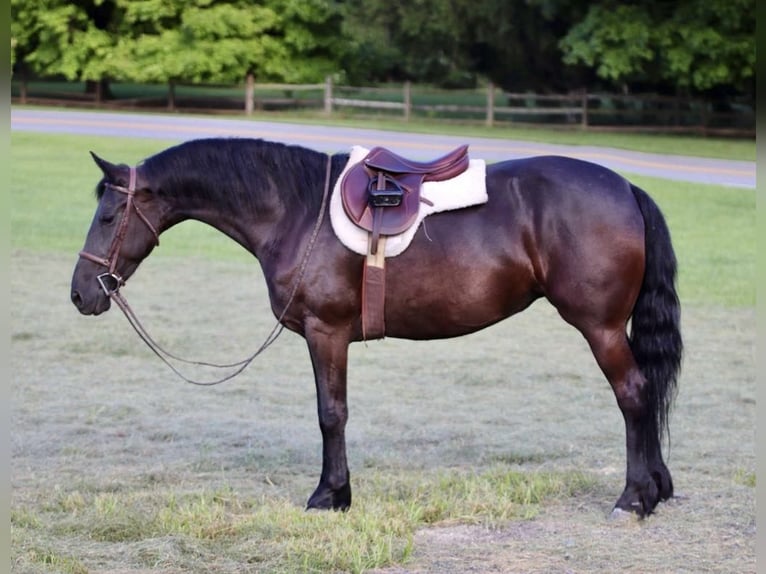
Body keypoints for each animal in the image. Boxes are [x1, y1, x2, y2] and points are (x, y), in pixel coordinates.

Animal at [70, 137, 682, 518]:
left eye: (107, 216)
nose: (80, 293)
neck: (296, 210)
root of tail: (627, 189)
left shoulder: (327, 333)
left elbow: (330, 414)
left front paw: (329, 495)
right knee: (647, 392)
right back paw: (656, 490)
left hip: (601, 328)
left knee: (633, 394)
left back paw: (632, 499)